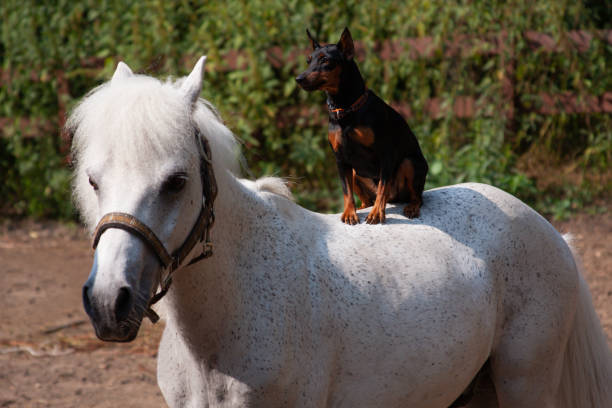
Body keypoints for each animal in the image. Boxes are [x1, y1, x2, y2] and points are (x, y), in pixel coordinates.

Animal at [294, 27, 428, 225]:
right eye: (308, 60)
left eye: (325, 60)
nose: (299, 78)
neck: (345, 110)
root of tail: (395, 198)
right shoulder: (341, 159)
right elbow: (346, 191)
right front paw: (350, 213)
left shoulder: (385, 154)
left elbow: (383, 187)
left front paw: (377, 214)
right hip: (356, 172)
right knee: (368, 198)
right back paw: (364, 206)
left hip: (409, 163)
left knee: (415, 196)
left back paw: (410, 207)